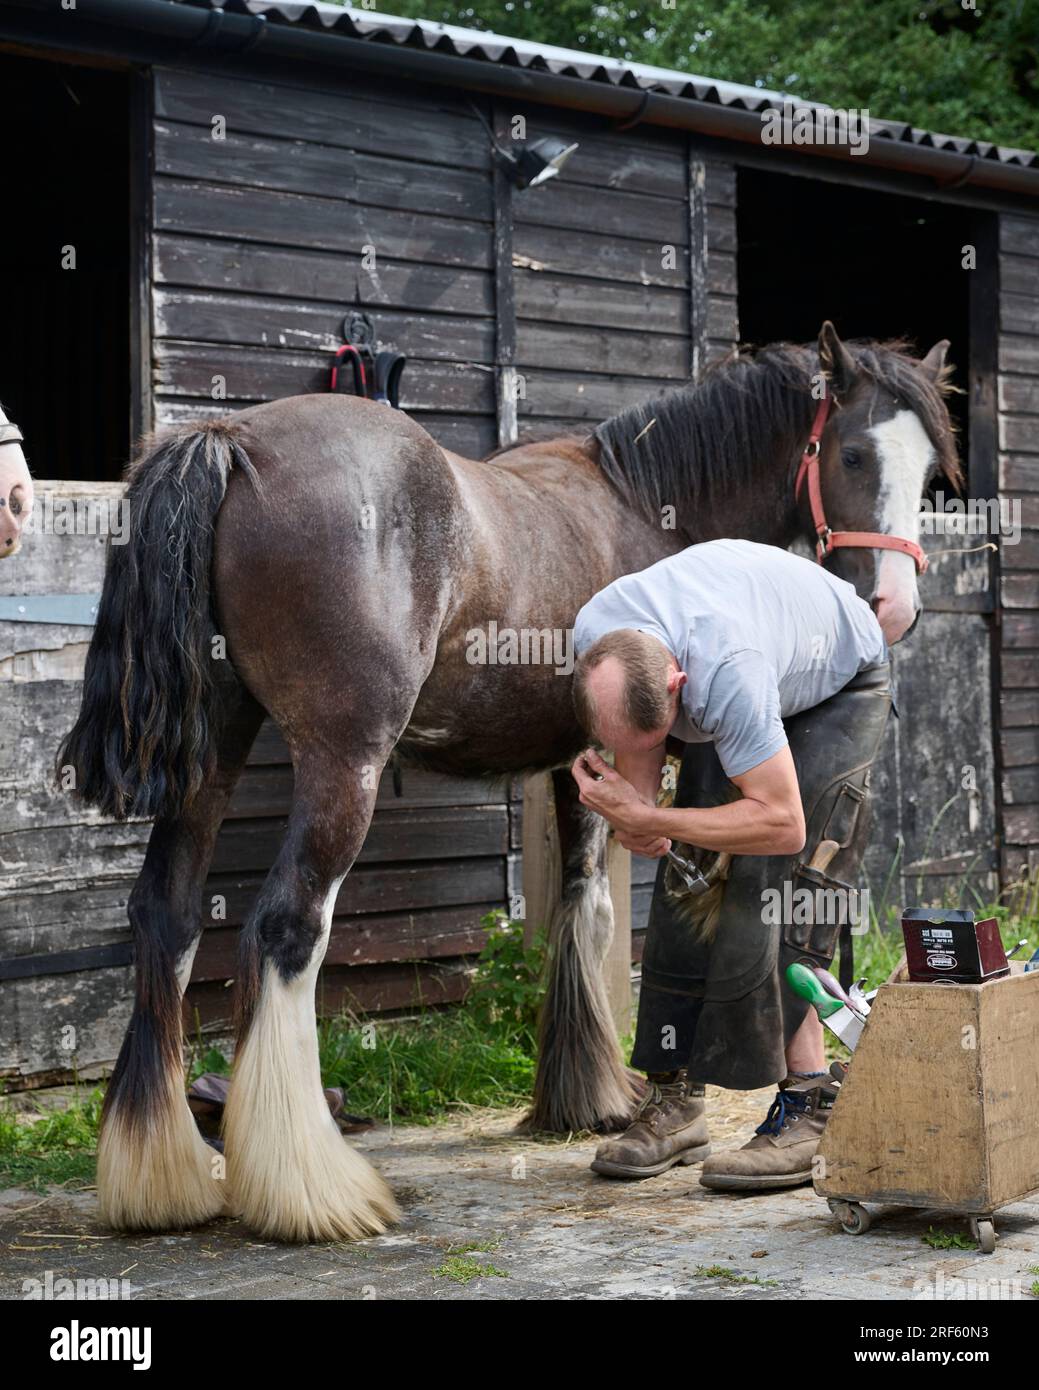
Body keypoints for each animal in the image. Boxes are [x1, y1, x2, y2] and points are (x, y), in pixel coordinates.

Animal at [62, 322, 956, 1239]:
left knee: (166, 916)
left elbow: (579, 906)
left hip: (215, 749)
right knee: (284, 929)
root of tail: (231, 440)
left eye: (929, 472)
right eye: (852, 453)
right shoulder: (615, 757)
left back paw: (163, 1176)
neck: (644, 503)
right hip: (342, 760)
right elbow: (595, 906)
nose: (892, 606)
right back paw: (313, 1189)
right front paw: (600, 1098)